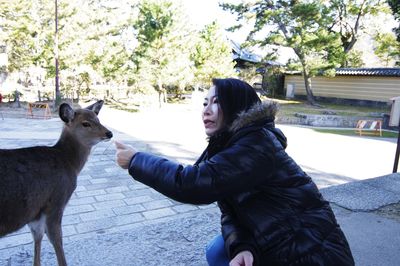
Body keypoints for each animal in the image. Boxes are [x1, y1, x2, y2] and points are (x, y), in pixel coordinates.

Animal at [0, 100, 112, 266]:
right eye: (85, 123)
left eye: (98, 119)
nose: (109, 133)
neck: (69, 164)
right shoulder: (57, 199)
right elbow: (56, 239)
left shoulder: (36, 211)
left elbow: (38, 236)